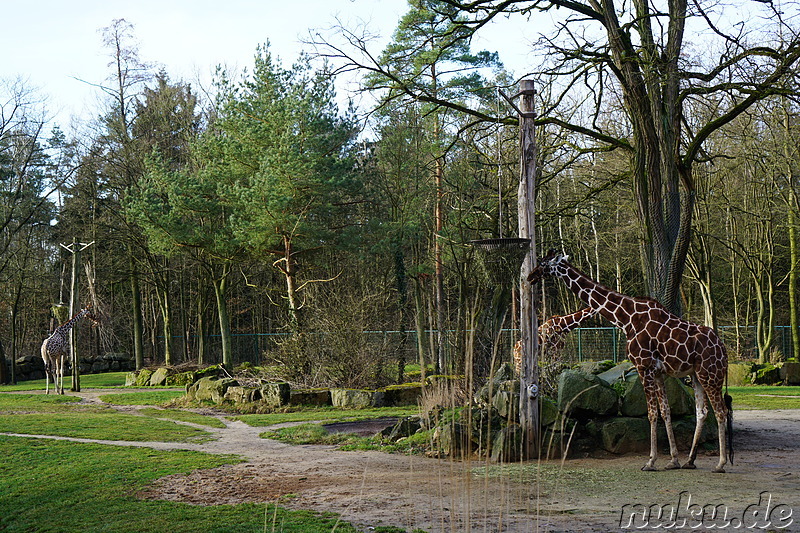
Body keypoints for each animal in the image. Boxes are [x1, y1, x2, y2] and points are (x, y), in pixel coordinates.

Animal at [528, 251, 736, 472]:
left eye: (543, 263)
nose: (530, 276)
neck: (626, 318)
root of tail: (723, 349)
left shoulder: (644, 367)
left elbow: (652, 414)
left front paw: (650, 461)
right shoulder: (658, 372)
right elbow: (665, 412)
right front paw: (673, 460)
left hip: (710, 374)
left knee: (721, 411)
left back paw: (720, 463)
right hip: (697, 375)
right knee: (702, 412)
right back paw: (690, 461)